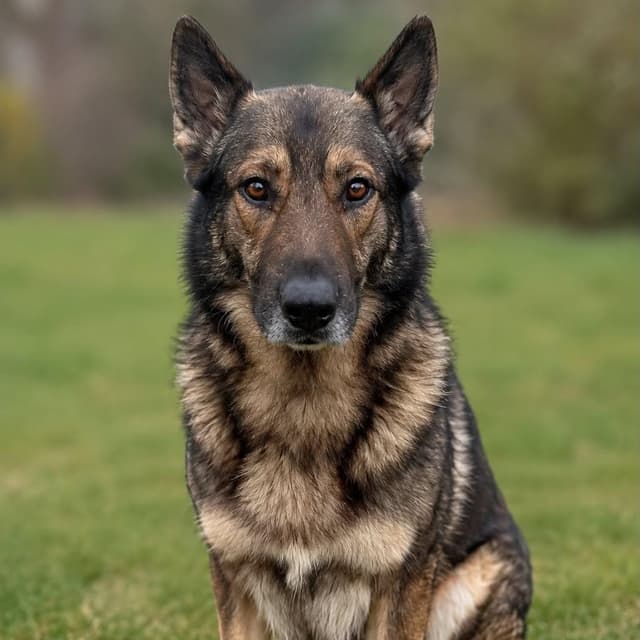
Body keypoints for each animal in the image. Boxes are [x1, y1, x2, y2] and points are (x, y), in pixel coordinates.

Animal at [170, 14, 532, 639]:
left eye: (357, 189)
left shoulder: (400, 587)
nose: (309, 309)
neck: (302, 404)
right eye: (256, 188)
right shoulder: (234, 585)